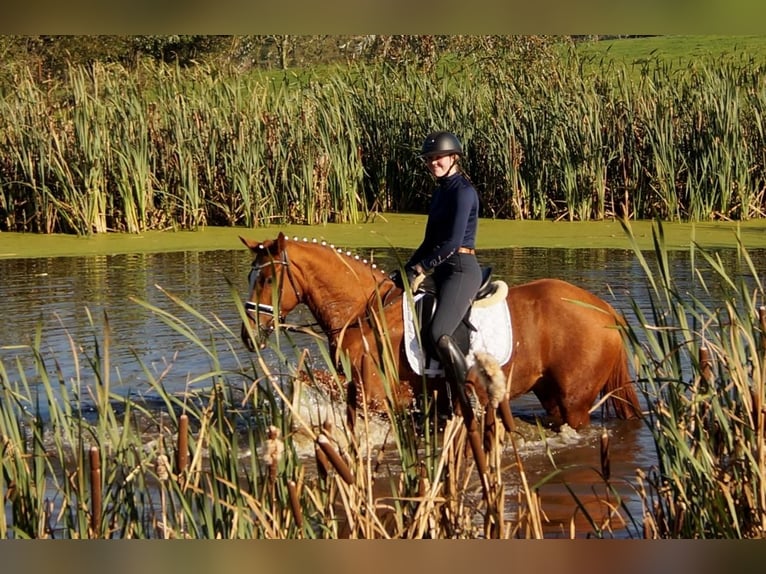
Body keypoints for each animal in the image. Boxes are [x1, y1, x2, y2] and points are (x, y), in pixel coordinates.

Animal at [240, 232, 640, 430]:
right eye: (250, 275)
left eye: (268, 278)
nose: (248, 335)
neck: (364, 313)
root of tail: (604, 309)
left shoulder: (377, 398)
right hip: (550, 395)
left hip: (575, 401)